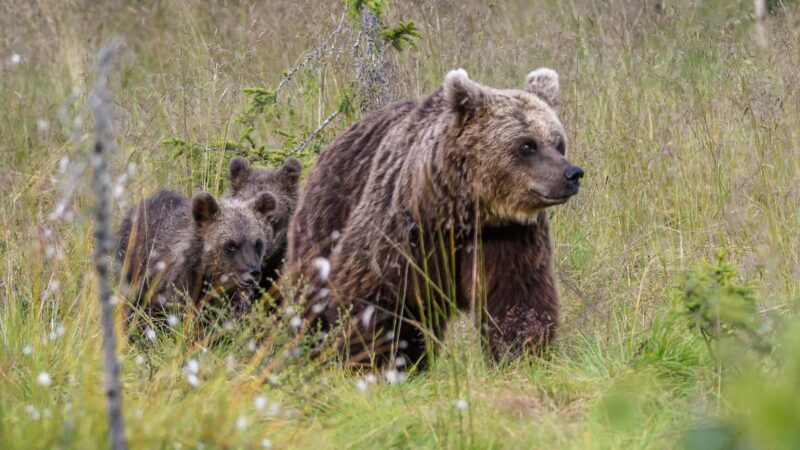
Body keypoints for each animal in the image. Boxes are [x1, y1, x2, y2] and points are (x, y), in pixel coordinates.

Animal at [286, 68, 583, 369]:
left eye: (558, 143)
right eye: (527, 145)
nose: (572, 174)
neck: (461, 212)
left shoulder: (507, 236)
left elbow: (517, 297)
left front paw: (522, 354)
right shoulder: (403, 232)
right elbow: (374, 295)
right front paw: (375, 359)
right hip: (327, 216)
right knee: (311, 292)